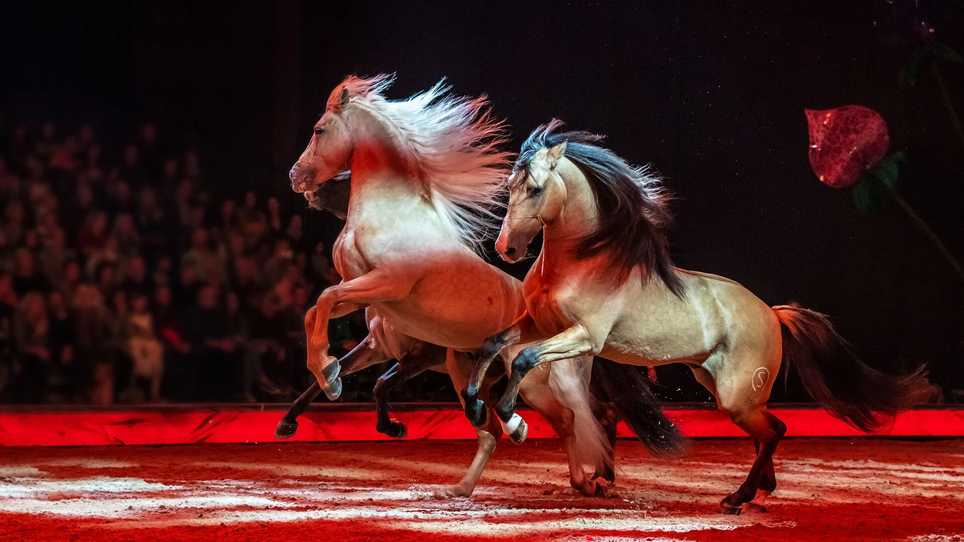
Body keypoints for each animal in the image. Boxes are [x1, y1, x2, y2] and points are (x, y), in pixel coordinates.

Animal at [287, 76, 683, 497]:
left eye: (319, 129)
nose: (298, 179)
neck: (393, 215)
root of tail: (570, 319)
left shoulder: (387, 286)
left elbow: (326, 301)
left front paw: (328, 376)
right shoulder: (363, 300)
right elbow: (317, 311)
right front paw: (325, 381)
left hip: (538, 382)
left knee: (569, 419)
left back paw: (580, 475)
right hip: (476, 372)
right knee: (529, 422)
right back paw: (480, 482)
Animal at [463, 120, 939, 514]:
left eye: (536, 189)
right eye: (509, 185)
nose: (507, 249)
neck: (582, 261)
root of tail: (773, 313)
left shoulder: (582, 336)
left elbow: (524, 360)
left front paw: (514, 421)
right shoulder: (538, 323)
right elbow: (492, 343)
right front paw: (475, 406)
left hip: (736, 396)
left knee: (775, 431)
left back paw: (737, 498)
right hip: (724, 389)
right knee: (769, 431)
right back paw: (760, 491)